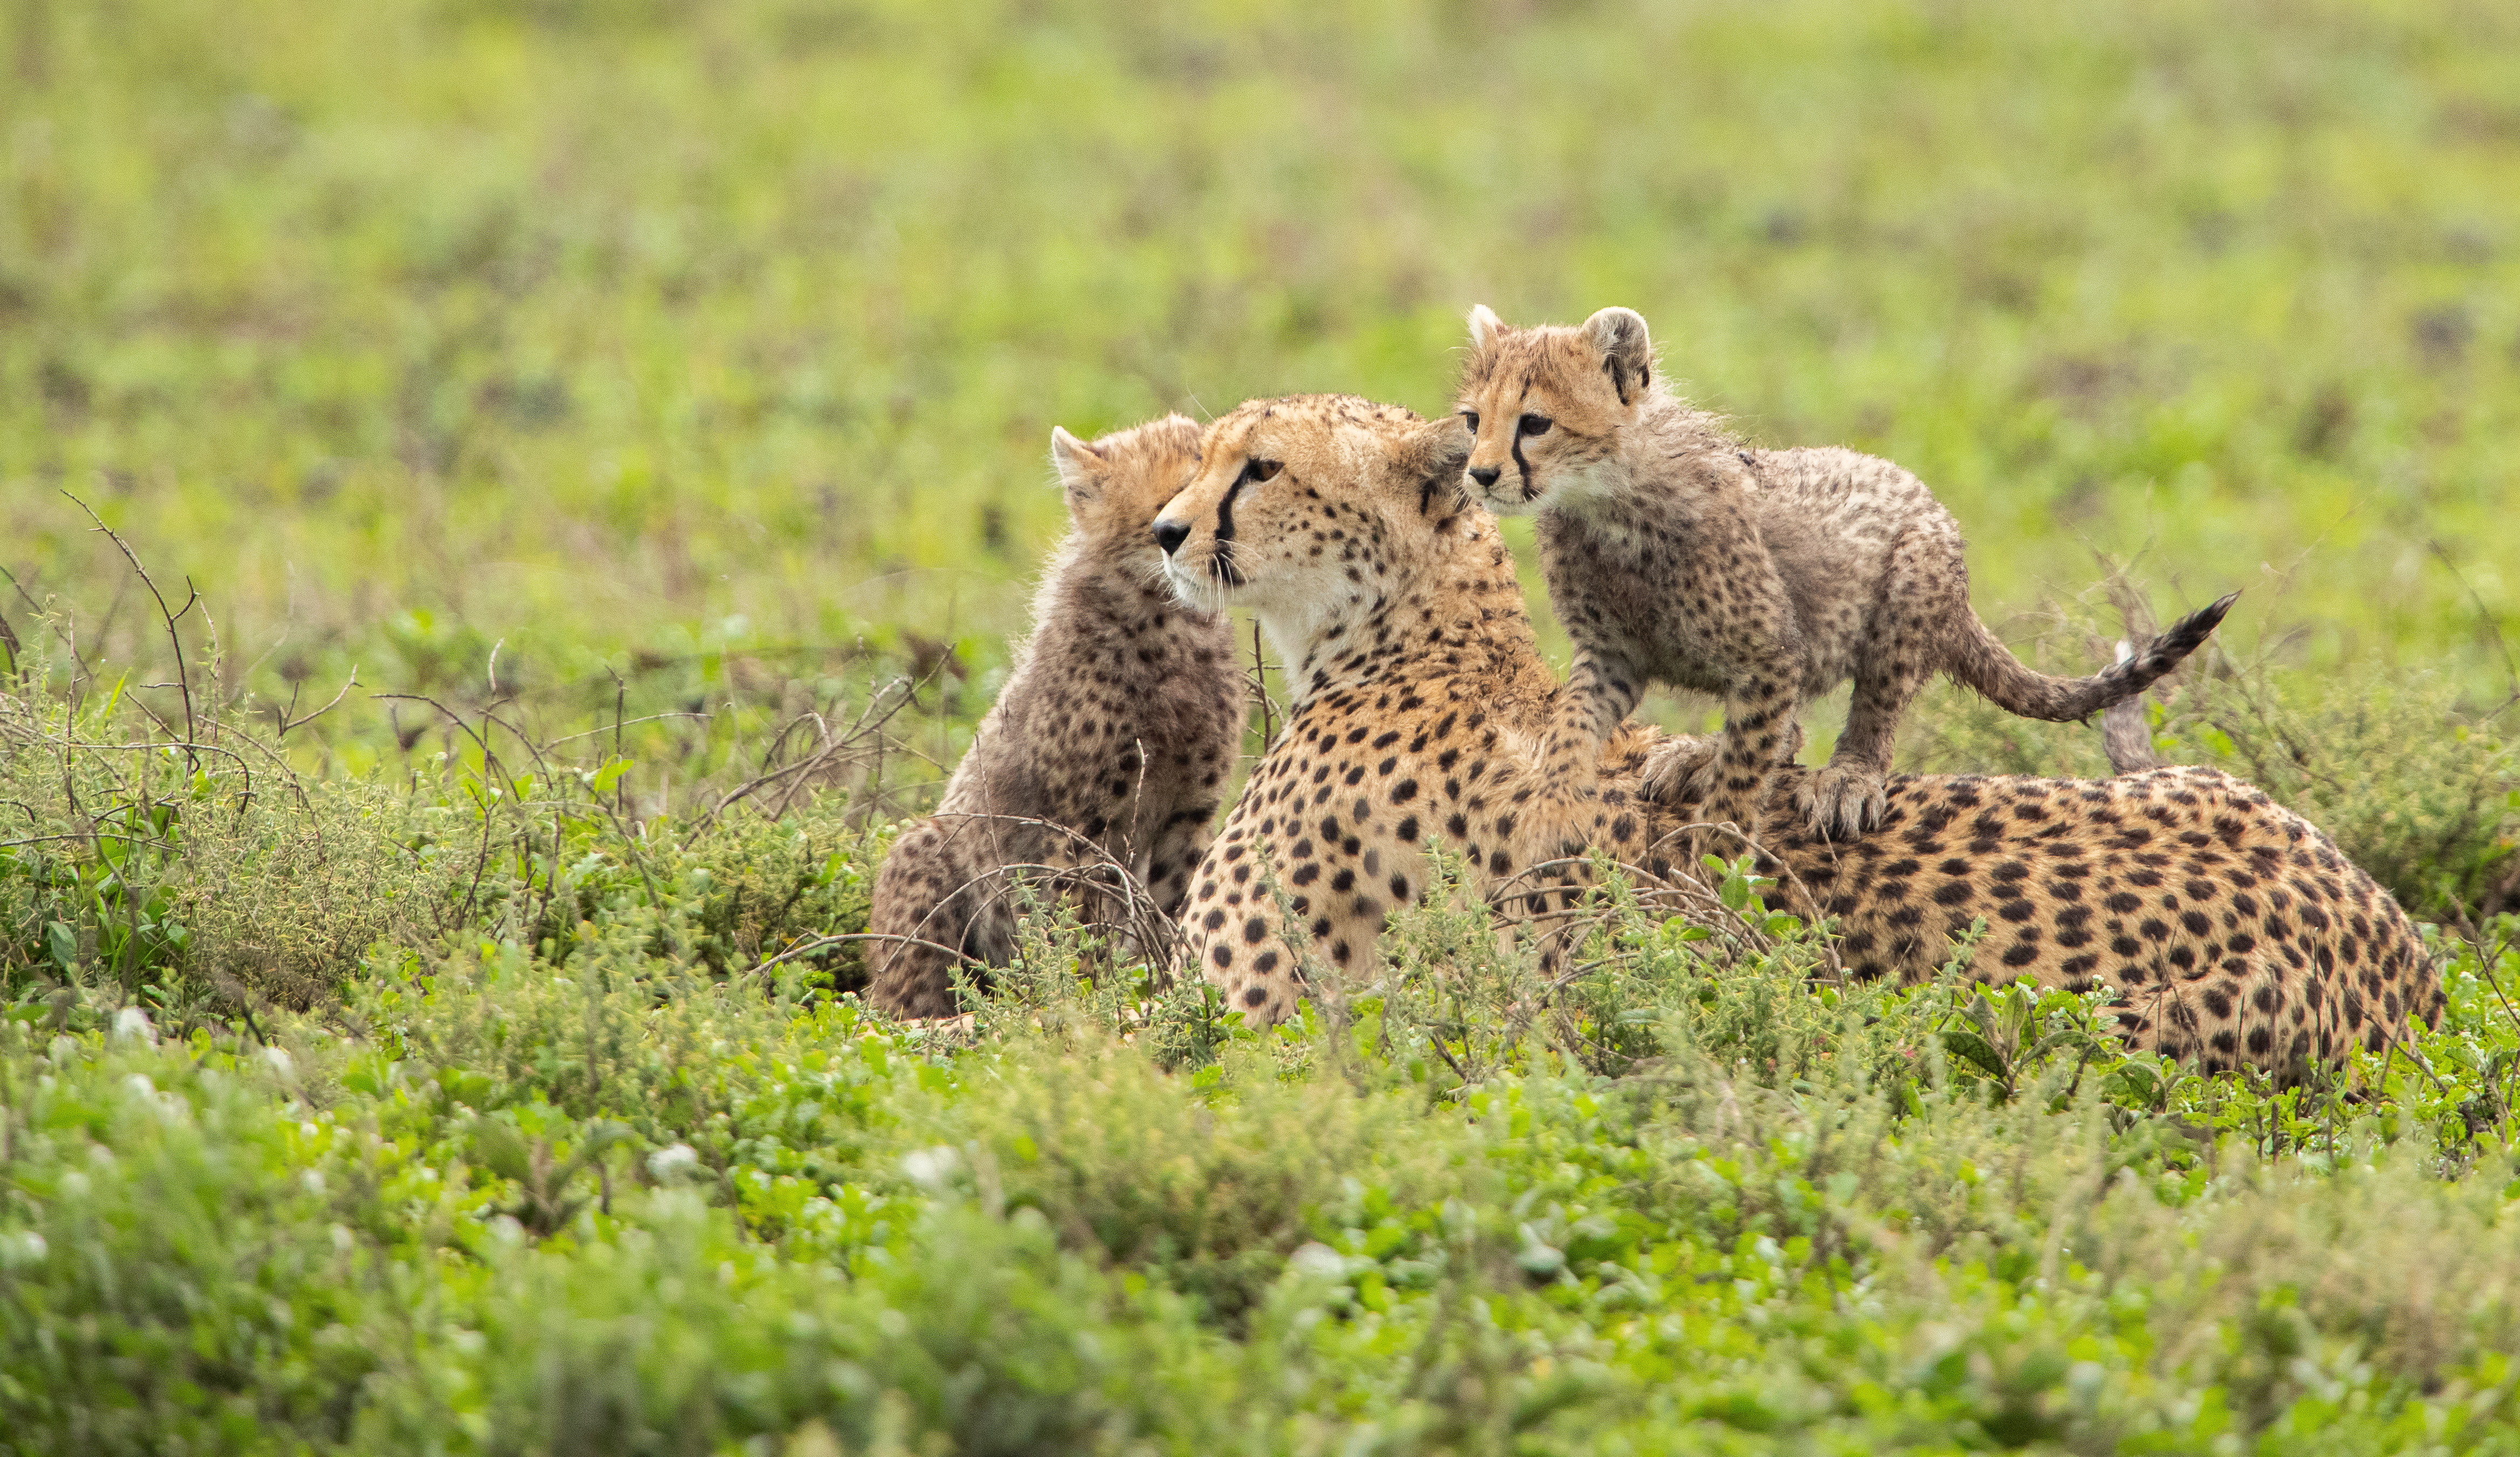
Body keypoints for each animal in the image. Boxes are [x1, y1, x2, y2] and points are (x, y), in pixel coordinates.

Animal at [866, 415, 1245, 1019]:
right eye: (1171, 505)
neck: (1170, 626)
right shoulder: (1080, 824)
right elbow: (1078, 924)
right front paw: (1087, 1003)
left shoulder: (1187, 814)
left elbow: (1176, 912)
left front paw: (1174, 993)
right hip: (926, 851)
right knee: (903, 997)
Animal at [1152, 393, 2437, 1079]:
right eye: (1206, 452)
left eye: (1259, 467)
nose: (1165, 530)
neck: (1415, 639)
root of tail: (2402, 956)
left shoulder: (1244, 1020)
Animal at [1454, 303, 2236, 841]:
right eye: (1471, 420)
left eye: (1534, 423)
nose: (1481, 474)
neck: (1604, 500)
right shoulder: (1610, 656)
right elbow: (1570, 726)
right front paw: (1551, 811)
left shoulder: (1770, 655)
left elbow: (1743, 780)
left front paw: (1714, 859)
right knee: (1787, 734)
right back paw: (1700, 753)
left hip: (1912, 581)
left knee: (1869, 711)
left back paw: (1847, 777)